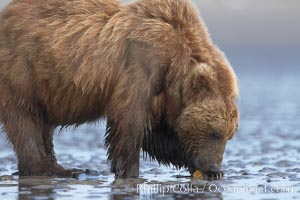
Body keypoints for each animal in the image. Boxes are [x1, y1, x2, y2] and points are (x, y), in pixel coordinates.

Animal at [0, 0, 239, 178]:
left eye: (229, 135)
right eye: (215, 133)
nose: (213, 167)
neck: (175, 65)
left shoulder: (162, 92)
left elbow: (159, 135)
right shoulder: (142, 63)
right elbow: (130, 119)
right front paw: (129, 171)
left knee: (42, 124)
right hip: (23, 71)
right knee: (25, 120)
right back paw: (57, 169)